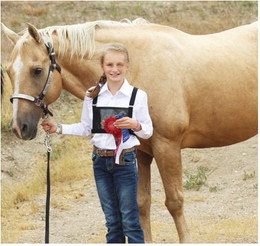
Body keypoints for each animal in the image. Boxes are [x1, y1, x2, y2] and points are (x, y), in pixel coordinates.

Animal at [1, 19, 258, 242]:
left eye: (36, 70)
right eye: (9, 72)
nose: (19, 128)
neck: (142, 67)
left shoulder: (167, 147)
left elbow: (175, 202)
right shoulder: (142, 151)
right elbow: (141, 203)